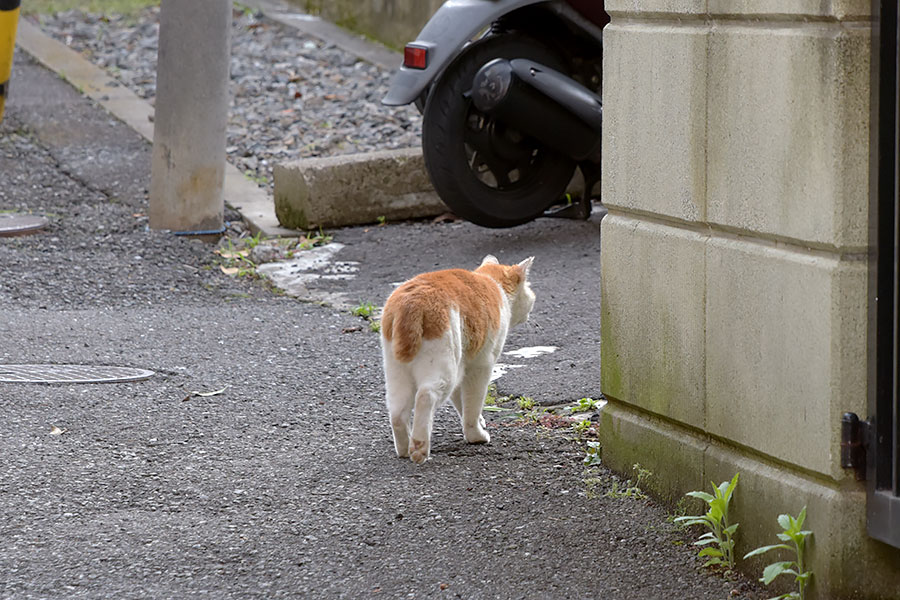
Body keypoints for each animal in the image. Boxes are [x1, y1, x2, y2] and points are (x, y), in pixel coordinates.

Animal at [378, 254, 536, 464]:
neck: (492, 282)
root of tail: (411, 302)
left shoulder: (463, 365)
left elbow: (461, 402)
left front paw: (479, 422)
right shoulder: (481, 365)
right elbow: (472, 405)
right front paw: (476, 434)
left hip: (397, 371)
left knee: (397, 412)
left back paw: (404, 448)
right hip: (444, 368)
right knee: (426, 396)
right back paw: (419, 447)